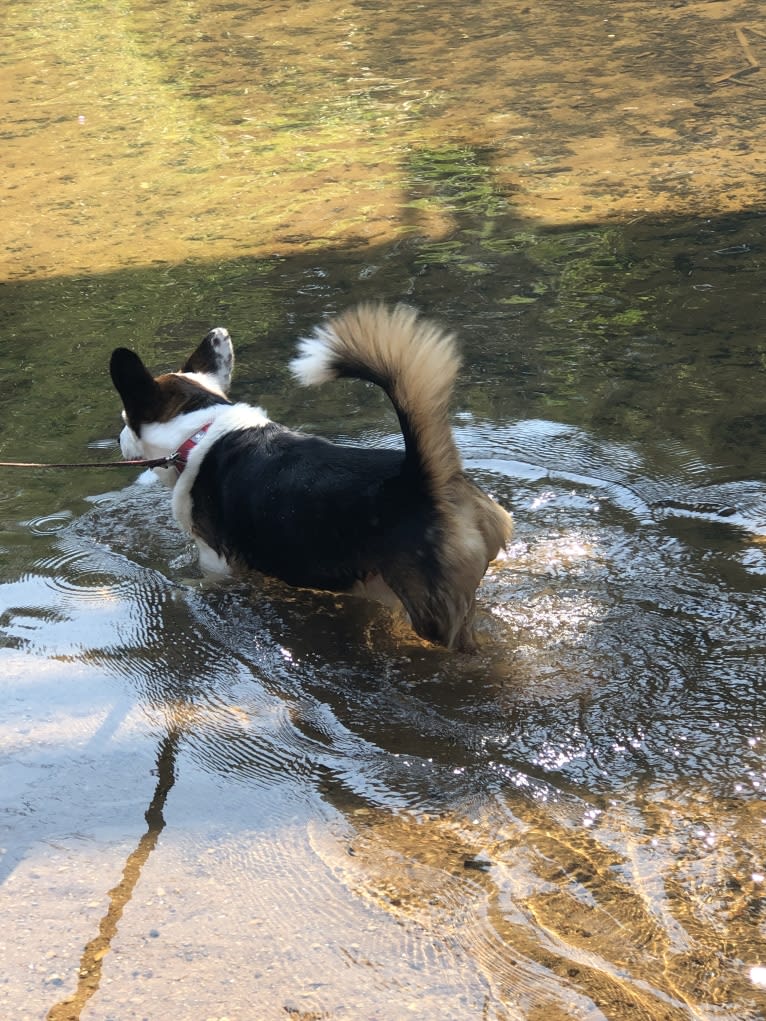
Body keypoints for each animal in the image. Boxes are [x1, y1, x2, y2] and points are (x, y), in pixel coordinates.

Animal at [108, 304, 512, 653]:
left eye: (125, 420)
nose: (119, 439)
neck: (199, 429)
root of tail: (422, 478)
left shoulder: (216, 561)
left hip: (432, 615)